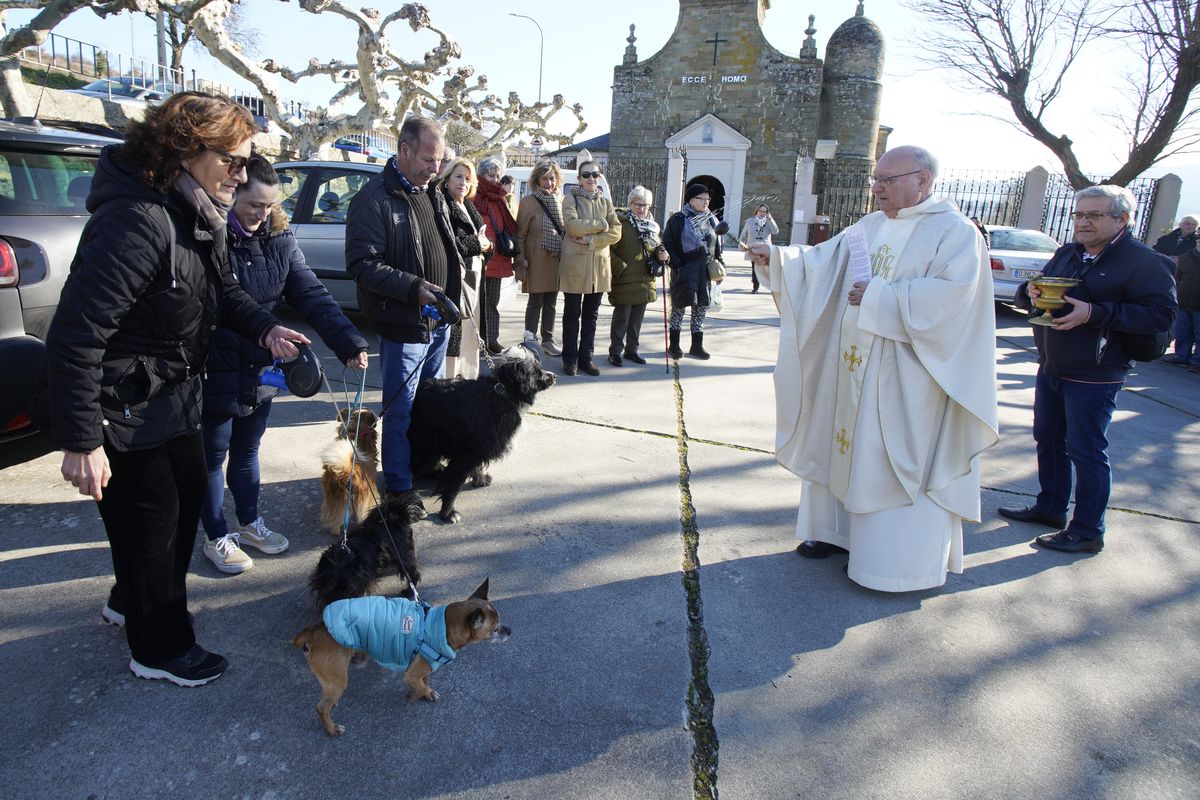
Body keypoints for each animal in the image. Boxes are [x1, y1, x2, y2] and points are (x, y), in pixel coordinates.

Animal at [296, 575, 516, 738]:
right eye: (495, 629)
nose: (510, 631)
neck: (442, 626)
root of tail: (314, 631)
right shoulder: (411, 675)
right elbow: (419, 686)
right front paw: (414, 696)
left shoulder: (426, 669)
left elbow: (425, 682)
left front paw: (427, 693)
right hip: (339, 680)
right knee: (321, 708)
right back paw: (331, 729)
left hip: (332, 679)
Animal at [408, 355, 556, 520]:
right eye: (536, 372)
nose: (554, 376)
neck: (502, 393)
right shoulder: (466, 453)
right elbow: (454, 483)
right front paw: (448, 511)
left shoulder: (479, 447)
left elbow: (476, 467)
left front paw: (480, 479)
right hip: (424, 443)